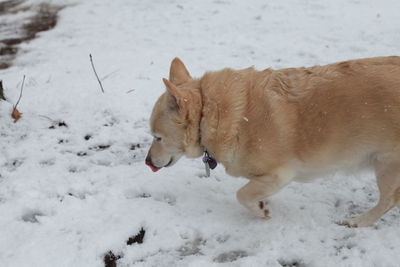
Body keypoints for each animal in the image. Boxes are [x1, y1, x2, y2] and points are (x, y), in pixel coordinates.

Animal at [145, 56, 400, 228]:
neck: (210, 113)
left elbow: (242, 194)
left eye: (157, 137)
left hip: (386, 165)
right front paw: (262, 204)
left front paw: (261, 210)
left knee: (389, 200)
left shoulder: (279, 175)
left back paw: (361, 220)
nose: (147, 162)